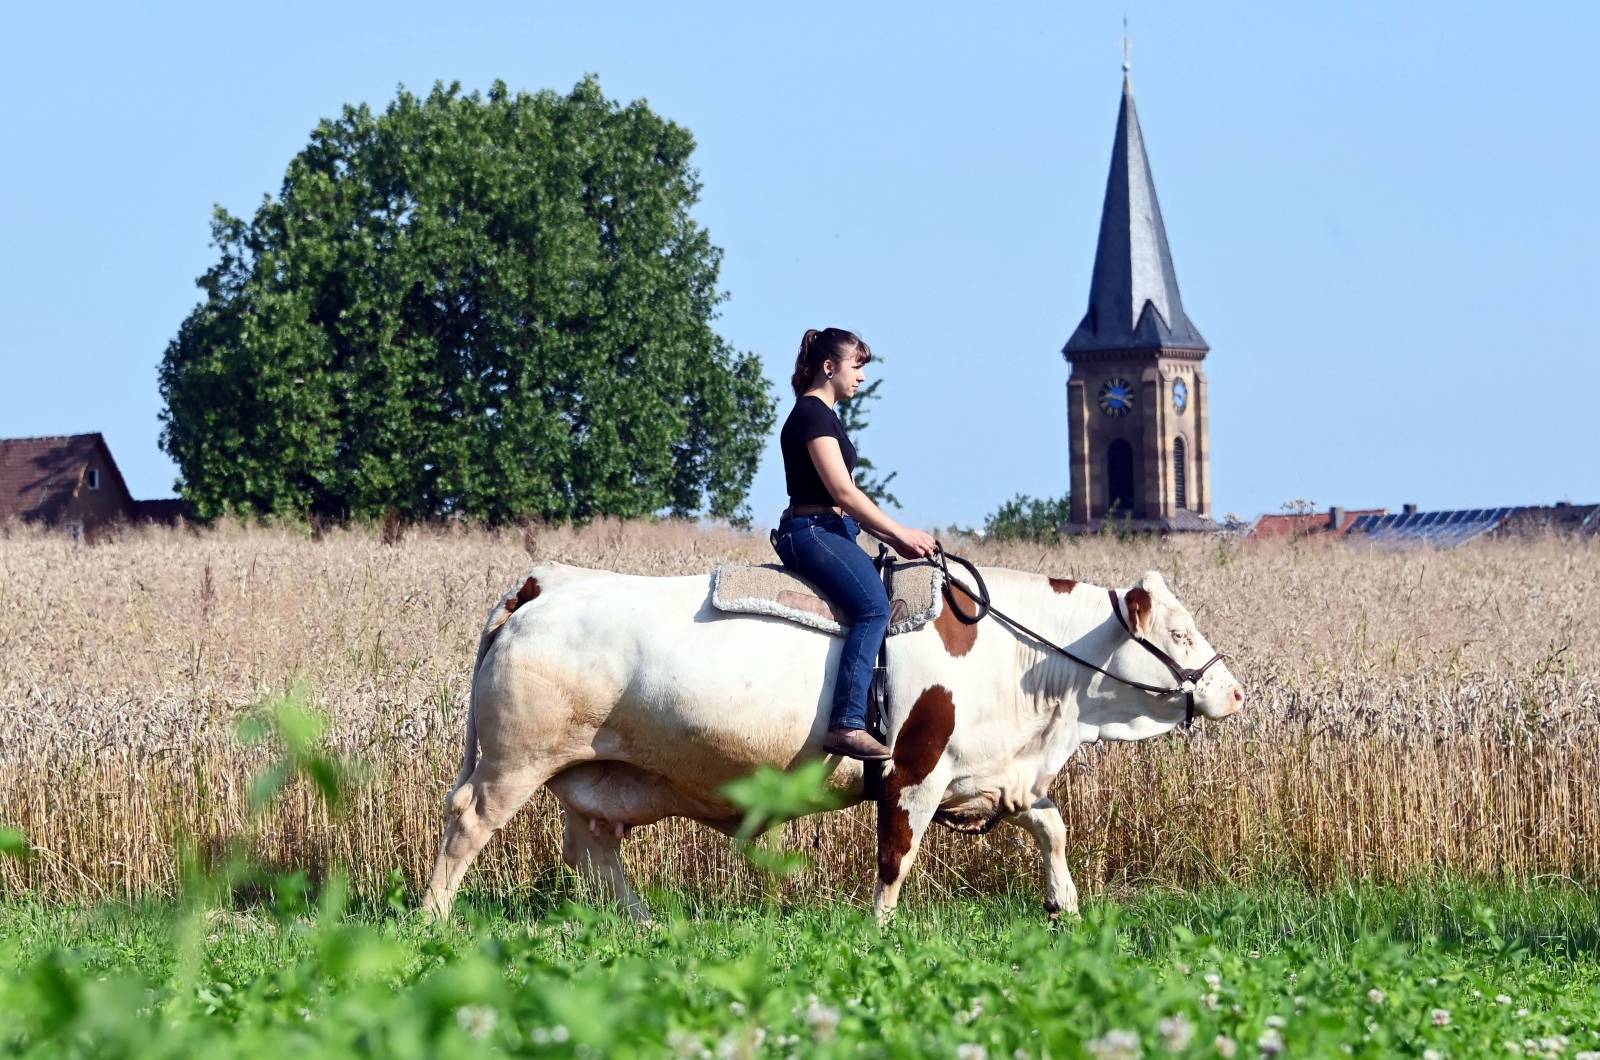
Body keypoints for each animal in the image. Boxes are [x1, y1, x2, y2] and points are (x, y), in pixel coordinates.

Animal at [419, 563, 1241, 922]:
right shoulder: (912, 773)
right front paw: (879, 928)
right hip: (512, 763)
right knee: (466, 826)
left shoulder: (996, 774)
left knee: (594, 847)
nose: (1234, 692)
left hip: (600, 772)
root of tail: (548, 582)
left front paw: (1062, 904)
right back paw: (431, 919)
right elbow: (896, 854)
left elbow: (1051, 824)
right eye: (1178, 633)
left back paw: (645, 922)